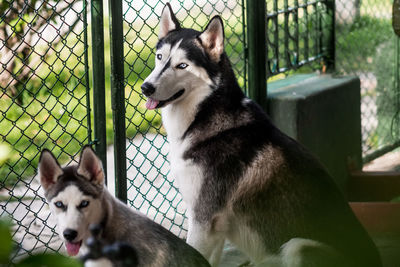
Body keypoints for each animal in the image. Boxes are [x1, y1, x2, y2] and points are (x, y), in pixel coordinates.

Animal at [141, 3, 382, 267]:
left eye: (182, 65)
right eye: (159, 57)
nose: (145, 87)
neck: (204, 114)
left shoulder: (203, 220)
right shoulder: (214, 228)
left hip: (298, 247)